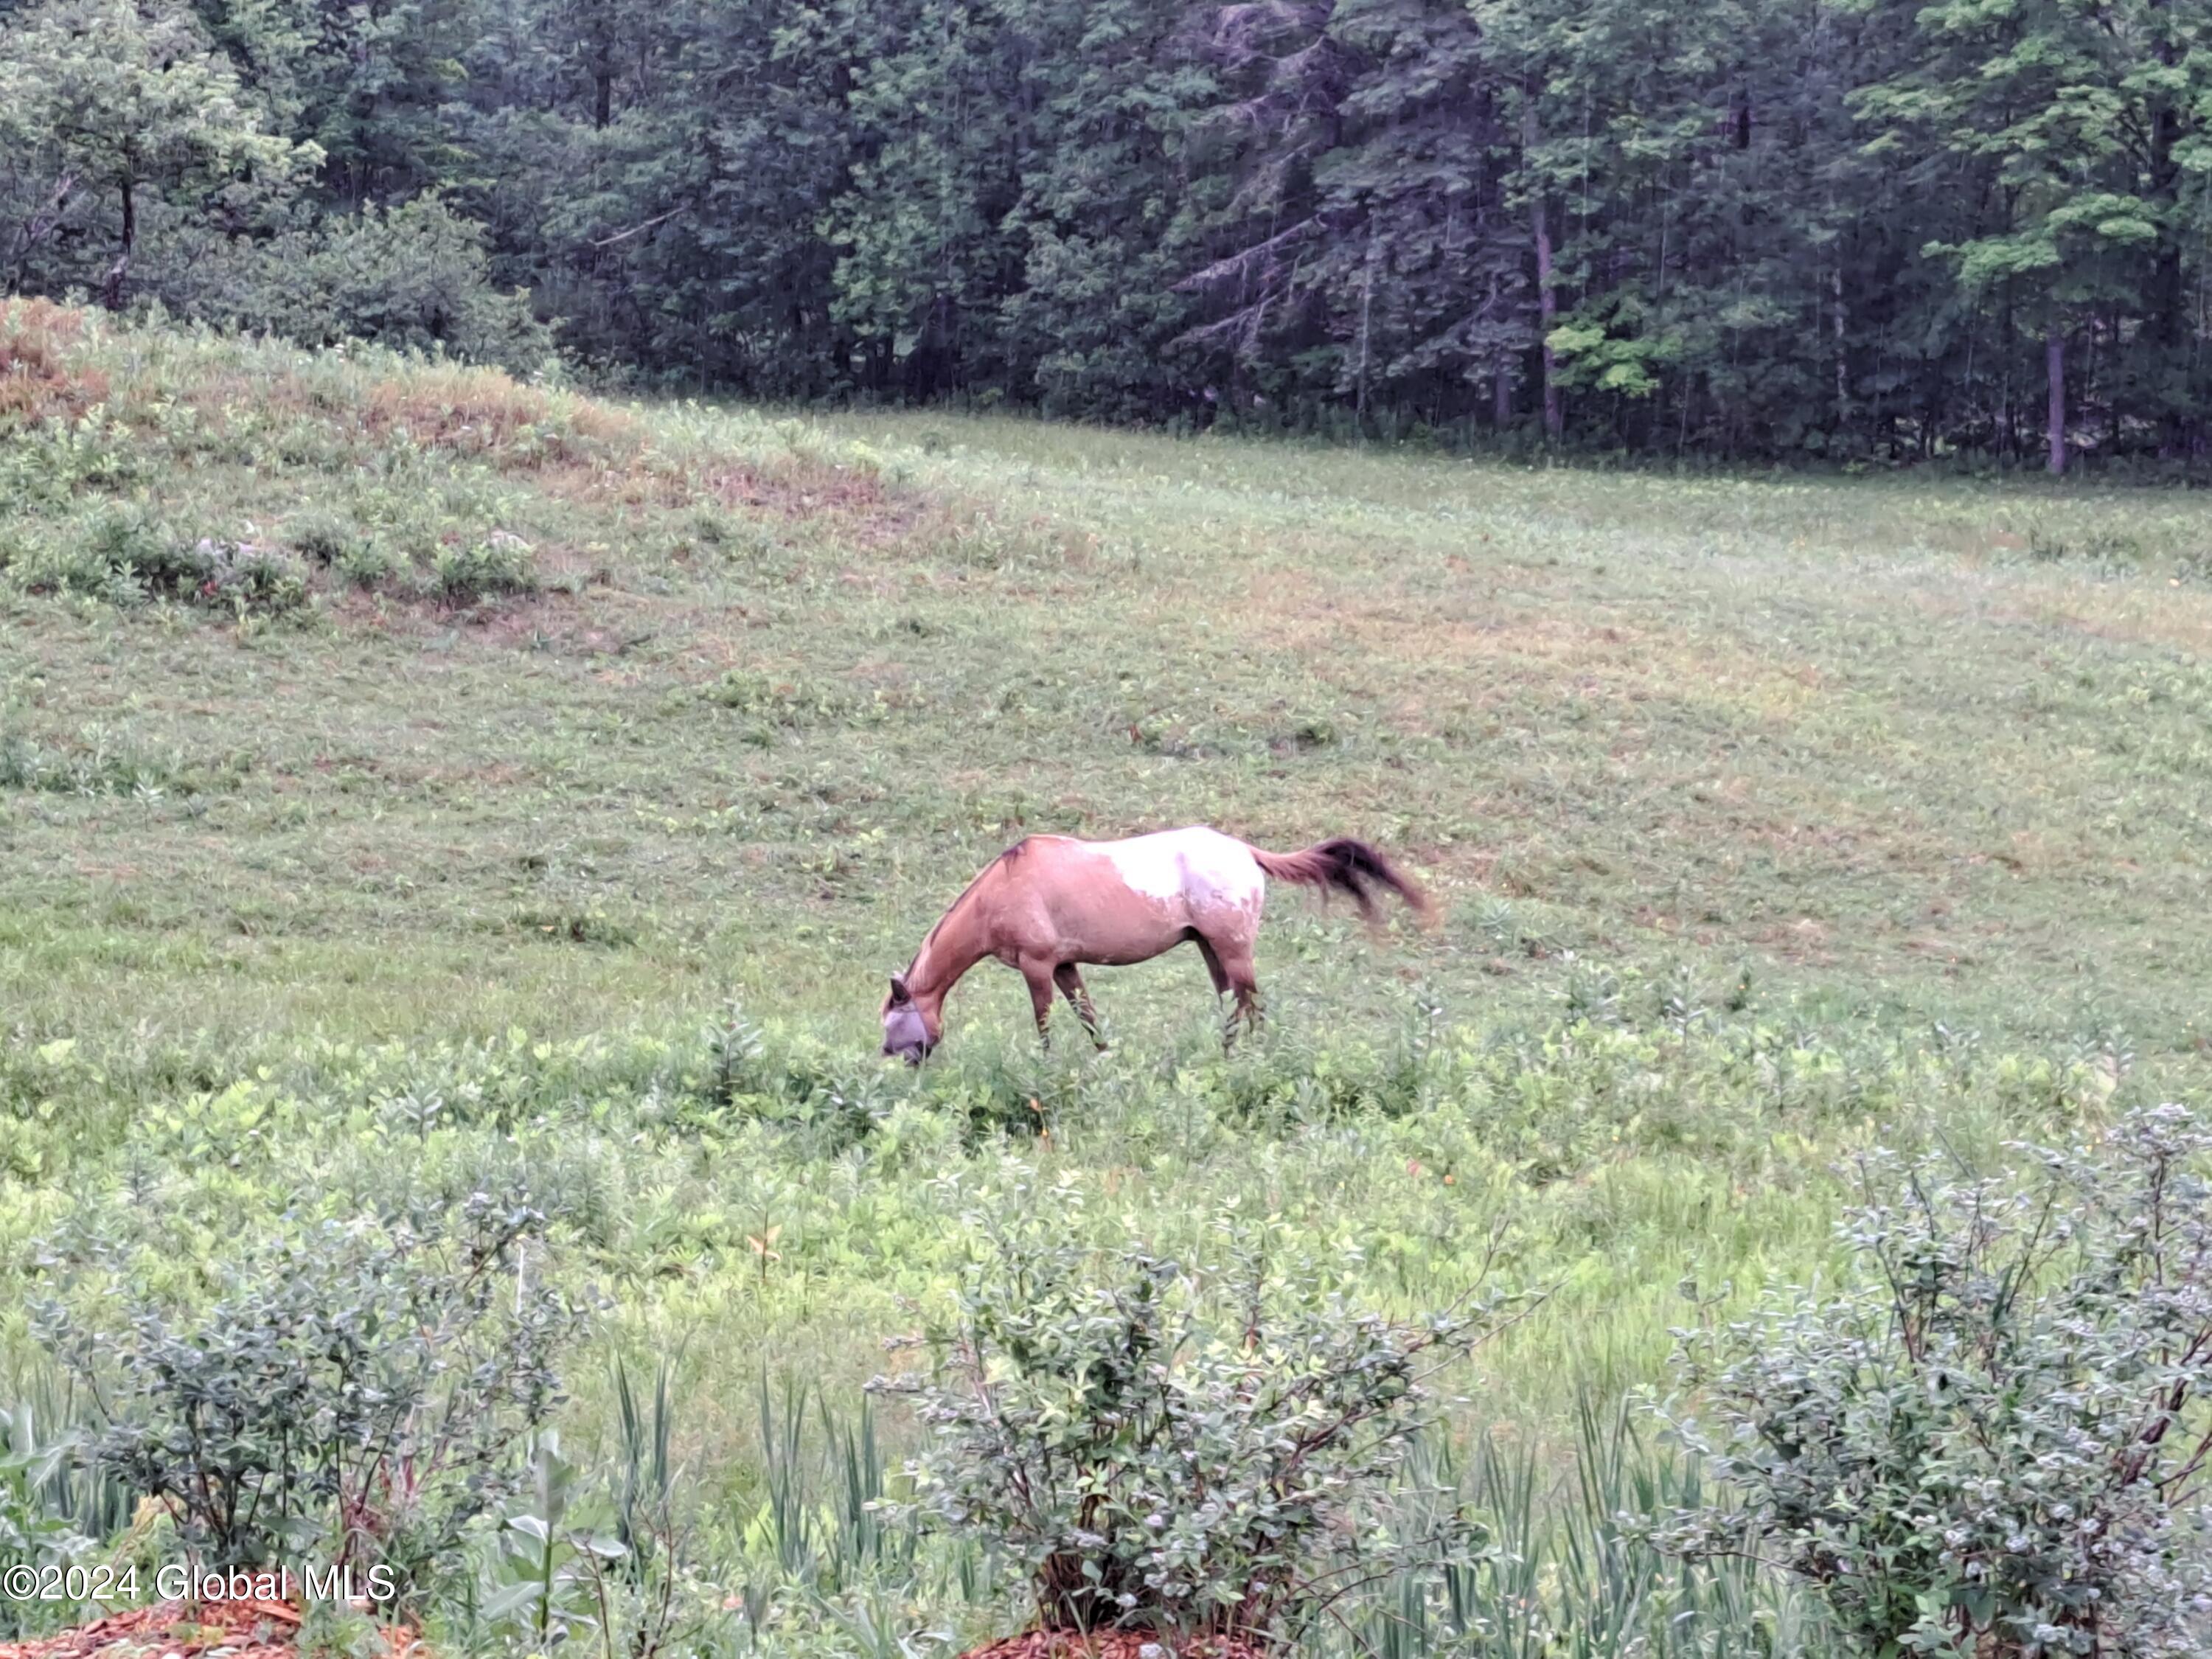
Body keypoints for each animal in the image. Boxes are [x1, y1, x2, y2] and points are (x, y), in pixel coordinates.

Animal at [879, 826, 1430, 1063]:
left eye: (892, 1023)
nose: (895, 1061)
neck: (1005, 888)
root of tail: (1246, 851)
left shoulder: (1038, 967)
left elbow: (1046, 1026)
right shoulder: (1065, 965)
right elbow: (1089, 1017)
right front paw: (1106, 1061)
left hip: (1233, 948)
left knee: (1252, 1004)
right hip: (1210, 949)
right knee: (1232, 1002)